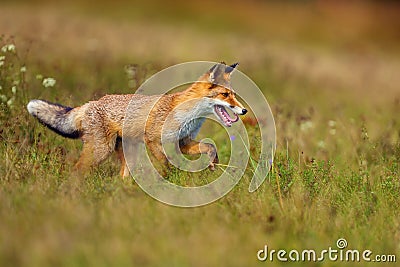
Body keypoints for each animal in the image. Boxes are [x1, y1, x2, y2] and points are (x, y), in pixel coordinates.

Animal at [27, 61, 247, 177]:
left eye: (233, 94)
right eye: (225, 95)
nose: (244, 110)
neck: (187, 114)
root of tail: (91, 102)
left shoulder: (183, 141)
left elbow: (210, 147)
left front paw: (213, 163)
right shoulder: (153, 139)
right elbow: (166, 163)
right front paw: (169, 179)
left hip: (127, 154)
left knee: (122, 179)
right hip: (101, 151)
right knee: (77, 169)